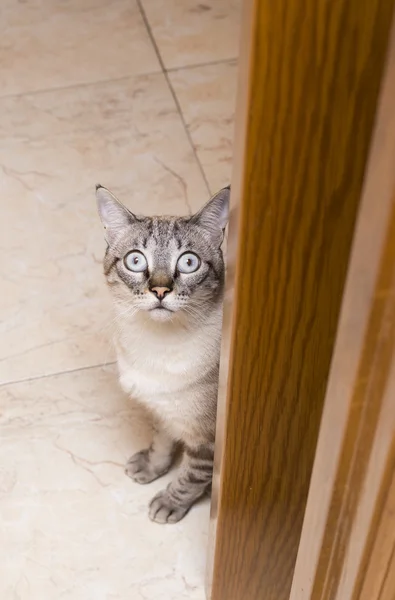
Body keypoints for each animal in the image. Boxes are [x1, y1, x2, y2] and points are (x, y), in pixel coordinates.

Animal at [95, 185, 229, 524]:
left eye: (189, 263)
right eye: (135, 260)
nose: (159, 291)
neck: (157, 345)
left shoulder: (208, 439)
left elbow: (191, 476)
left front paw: (170, 503)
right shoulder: (161, 408)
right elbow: (162, 442)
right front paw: (150, 467)